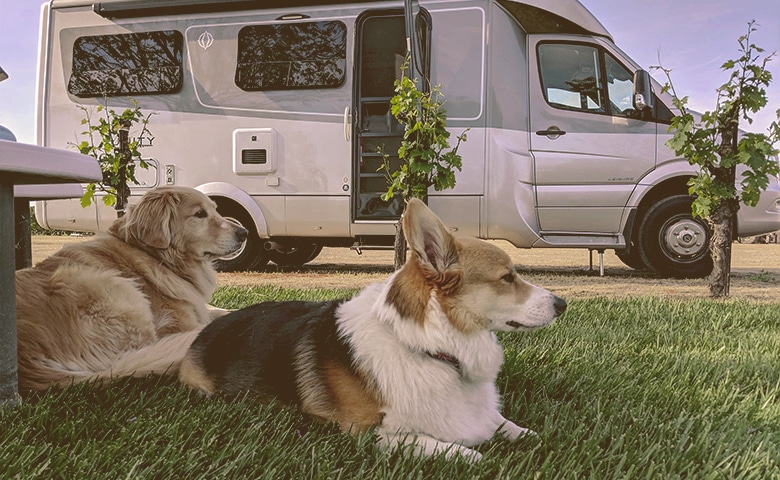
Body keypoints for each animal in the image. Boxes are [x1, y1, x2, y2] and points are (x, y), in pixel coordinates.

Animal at [15, 186, 247, 392]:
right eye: (200, 214)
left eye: (215, 209)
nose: (244, 232)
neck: (157, 257)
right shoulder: (178, 323)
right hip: (113, 287)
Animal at [178, 198, 568, 462]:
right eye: (507, 278)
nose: (562, 304)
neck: (431, 348)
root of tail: (210, 327)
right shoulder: (371, 433)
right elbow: (461, 452)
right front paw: (473, 454)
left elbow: (515, 428)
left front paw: (532, 436)